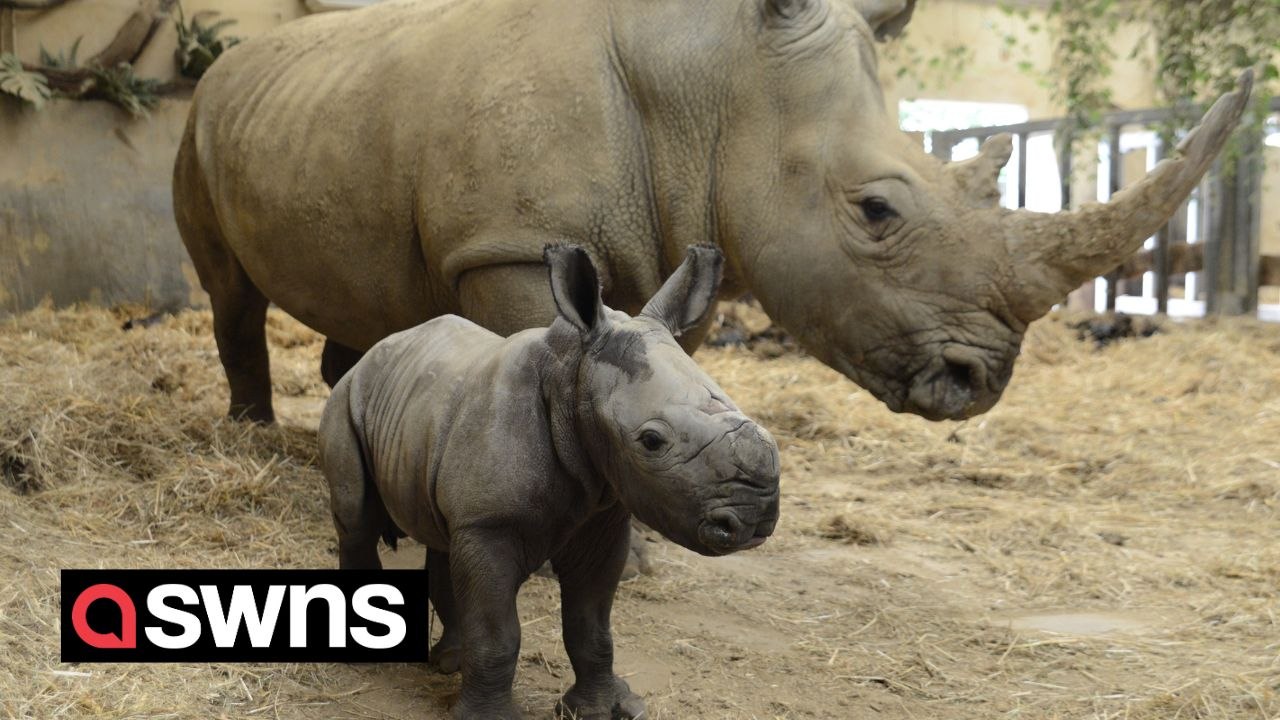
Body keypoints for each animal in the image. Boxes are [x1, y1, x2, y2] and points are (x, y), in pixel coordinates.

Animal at [174, 0, 1251, 426]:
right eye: (874, 210)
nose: (976, 382)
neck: (712, 81)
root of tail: (226, 61)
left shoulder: (676, 234)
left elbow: (659, 358)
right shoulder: (510, 249)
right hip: (197, 123)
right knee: (227, 291)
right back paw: (251, 431)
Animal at [320, 244, 780, 719]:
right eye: (652, 441)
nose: (757, 514)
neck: (570, 381)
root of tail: (378, 350)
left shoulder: (601, 518)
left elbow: (592, 628)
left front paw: (601, 709)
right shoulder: (490, 525)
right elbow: (498, 634)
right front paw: (492, 719)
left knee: (441, 536)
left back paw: (450, 663)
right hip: (347, 397)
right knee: (356, 520)